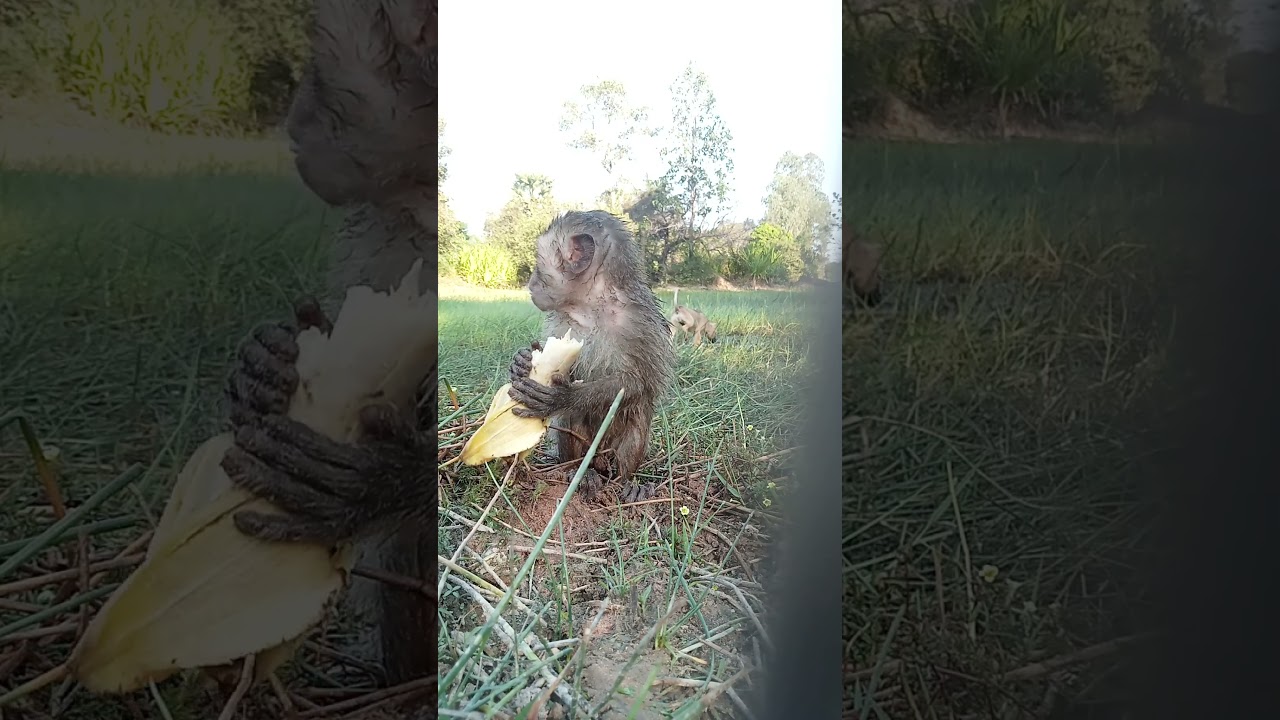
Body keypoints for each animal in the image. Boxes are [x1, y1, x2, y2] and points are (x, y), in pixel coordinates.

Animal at [505, 211, 676, 504]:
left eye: (539, 266)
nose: (530, 283)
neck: (592, 306)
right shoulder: (563, 321)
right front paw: (522, 363)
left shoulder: (640, 322)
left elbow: (638, 383)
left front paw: (565, 397)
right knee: (571, 422)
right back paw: (579, 473)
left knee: (638, 414)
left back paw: (626, 481)